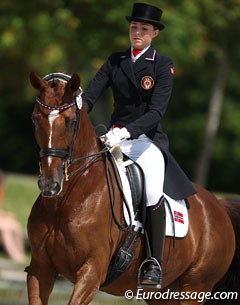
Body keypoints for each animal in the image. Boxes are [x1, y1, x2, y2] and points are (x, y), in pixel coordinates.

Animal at [27, 72, 240, 304]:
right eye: (35, 119)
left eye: (70, 122)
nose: (50, 184)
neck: (65, 202)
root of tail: (219, 207)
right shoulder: (40, 269)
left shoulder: (92, 272)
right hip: (162, 293)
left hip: (195, 287)